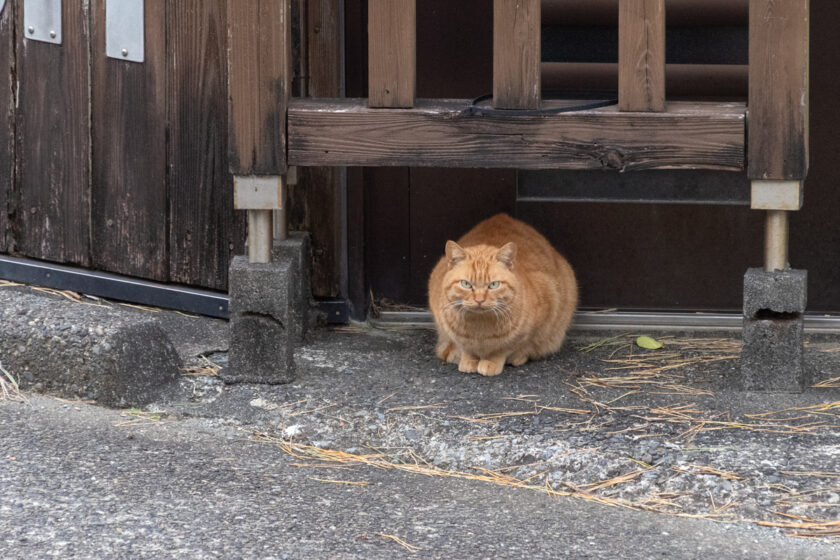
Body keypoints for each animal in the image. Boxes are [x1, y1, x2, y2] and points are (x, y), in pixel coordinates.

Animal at [426, 214, 576, 376]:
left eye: (493, 285)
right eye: (466, 284)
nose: (479, 299)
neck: (480, 329)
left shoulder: (538, 320)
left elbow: (505, 348)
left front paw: (492, 362)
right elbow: (466, 348)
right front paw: (468, 360)